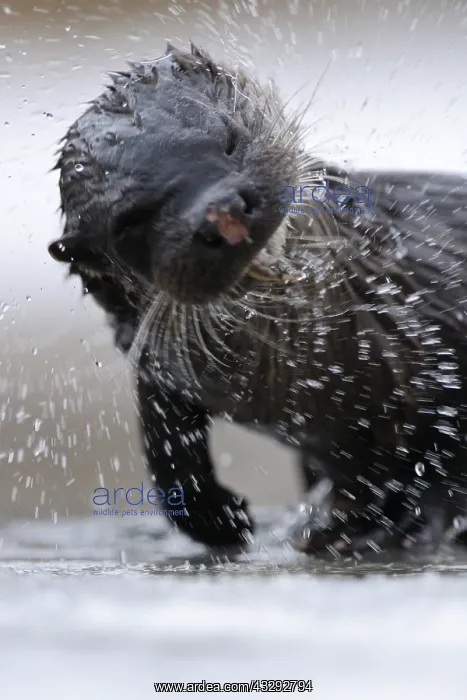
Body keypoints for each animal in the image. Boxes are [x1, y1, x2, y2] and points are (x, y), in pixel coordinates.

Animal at [48, 43, 467, 555]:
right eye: (132, 220)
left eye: (229, 140)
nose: (223, 212)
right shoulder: (161, 366)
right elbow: (165, 451)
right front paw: (225, 519)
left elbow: (449, 451)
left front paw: (404, 524)